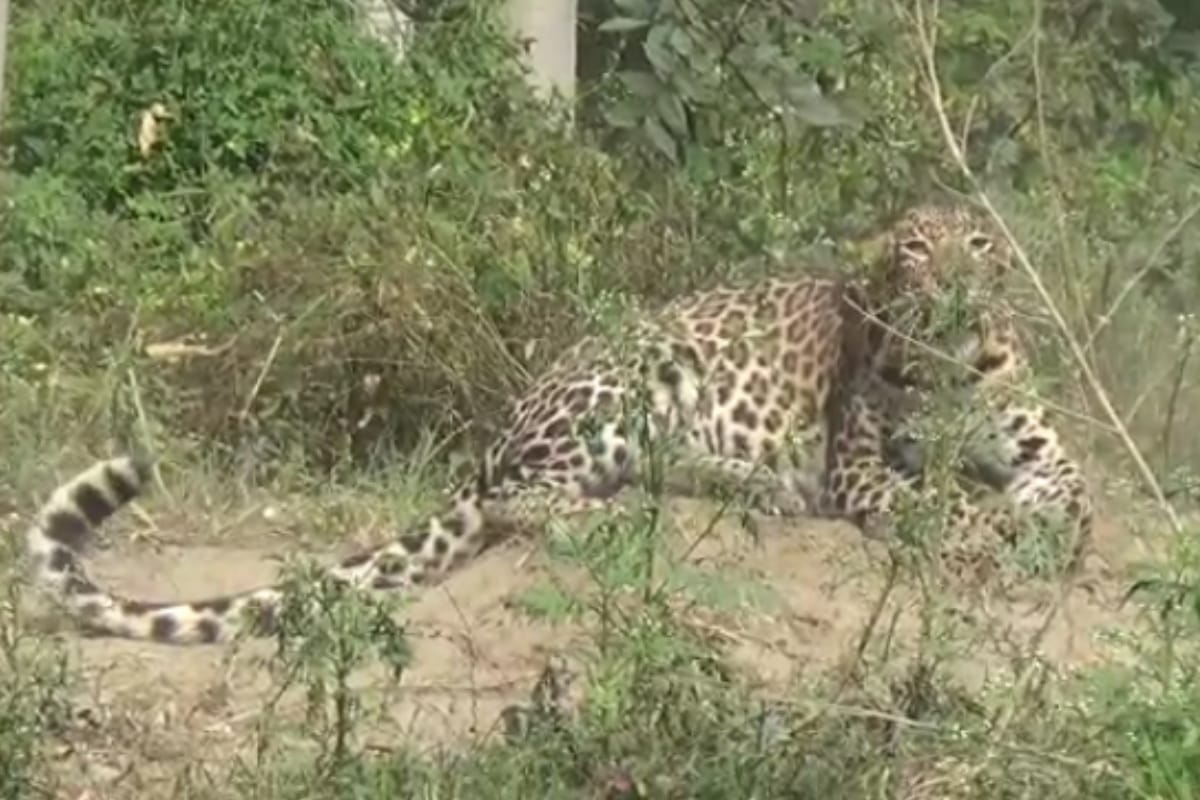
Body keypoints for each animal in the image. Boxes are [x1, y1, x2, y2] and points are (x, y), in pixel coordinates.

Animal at [22, 200, 1046, 645]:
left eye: (980, 246)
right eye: (915, 252)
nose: (956, 285)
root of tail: (499, 432)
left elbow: (1058, 489)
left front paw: (1041, 528)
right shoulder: (860, 459)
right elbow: (932, 500)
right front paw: (986, 532)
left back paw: (752, 485)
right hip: (634, 376)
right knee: (527, 498)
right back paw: (606, 514)